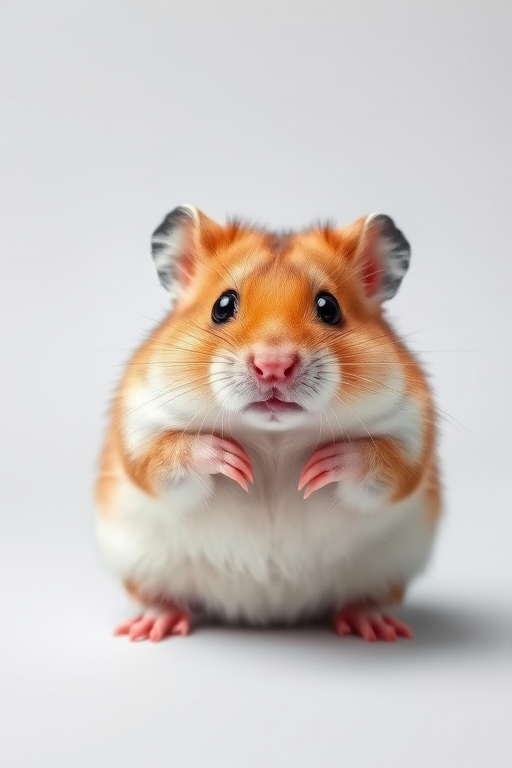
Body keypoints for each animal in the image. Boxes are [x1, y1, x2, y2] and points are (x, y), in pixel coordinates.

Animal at [95, 204, 442, 643]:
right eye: (222, 305)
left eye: (329, 307)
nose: (273, 365)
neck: (274, 435)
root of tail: (269, 612)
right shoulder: (139, 428)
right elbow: (168, 457)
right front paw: (233, 460)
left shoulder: (411, 434)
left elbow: (381, 465)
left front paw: (320, 466)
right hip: (140, 564)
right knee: (161, 596)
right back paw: (150, 626)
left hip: (389, 569)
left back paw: (376, 627)